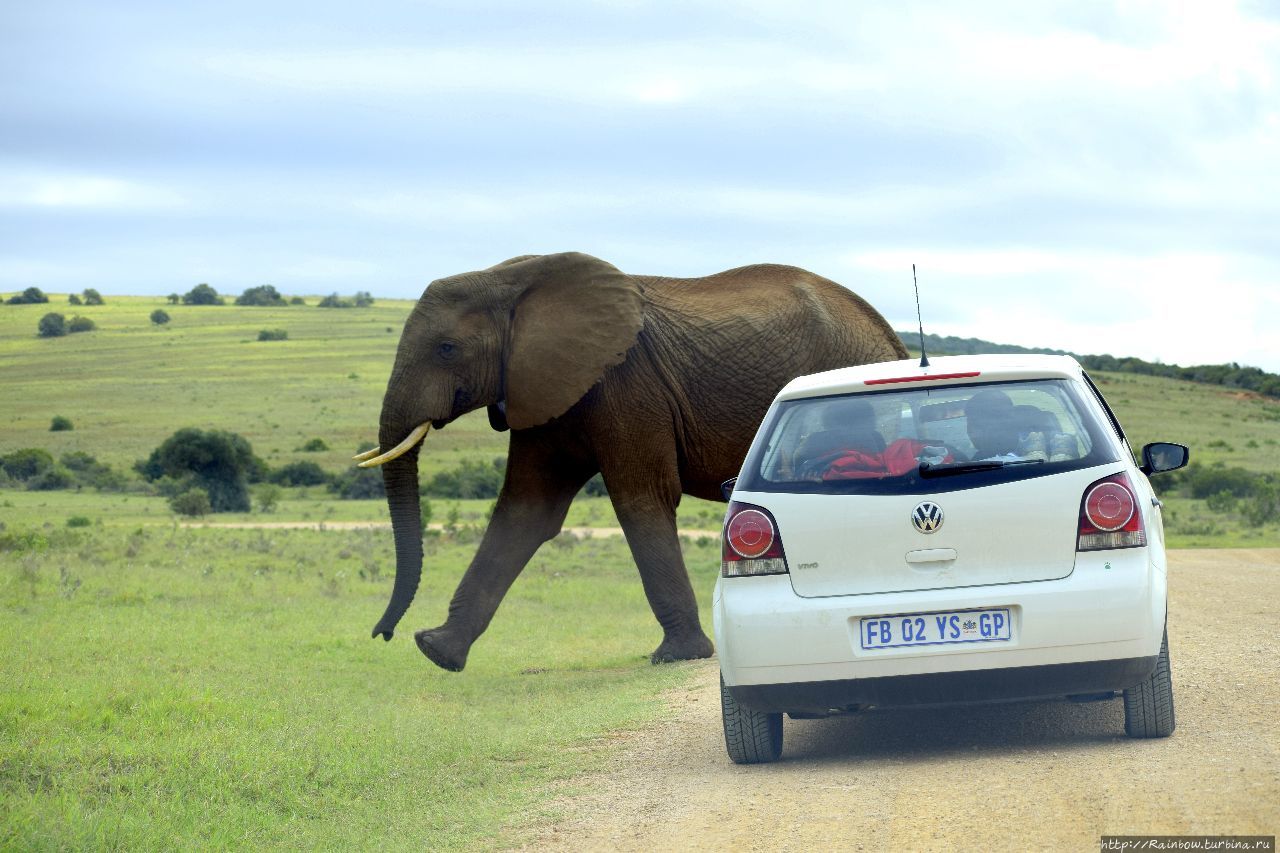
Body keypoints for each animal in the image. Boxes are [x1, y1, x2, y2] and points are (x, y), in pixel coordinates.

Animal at [355, 249, 906, 666]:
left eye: (447, 348)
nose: (381, 634)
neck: (514, 278)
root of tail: (891, 337)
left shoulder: (627, 382)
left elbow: (641, 498)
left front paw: (677, 656)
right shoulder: (542, 388)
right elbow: (527, 510)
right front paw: (437, 650)